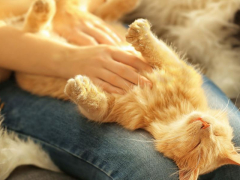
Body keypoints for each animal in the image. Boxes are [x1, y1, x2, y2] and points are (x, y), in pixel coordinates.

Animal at [0, 0, 240, 180]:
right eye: (215, 133)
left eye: (200, 145)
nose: (205, 124)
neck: (162, 112)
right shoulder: (176, 67)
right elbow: (156, 48)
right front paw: (140, 32)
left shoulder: (112, 110)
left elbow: (94, 105)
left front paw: (80, 89)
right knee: (80, 14)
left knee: (33, 28)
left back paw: (44, 9)